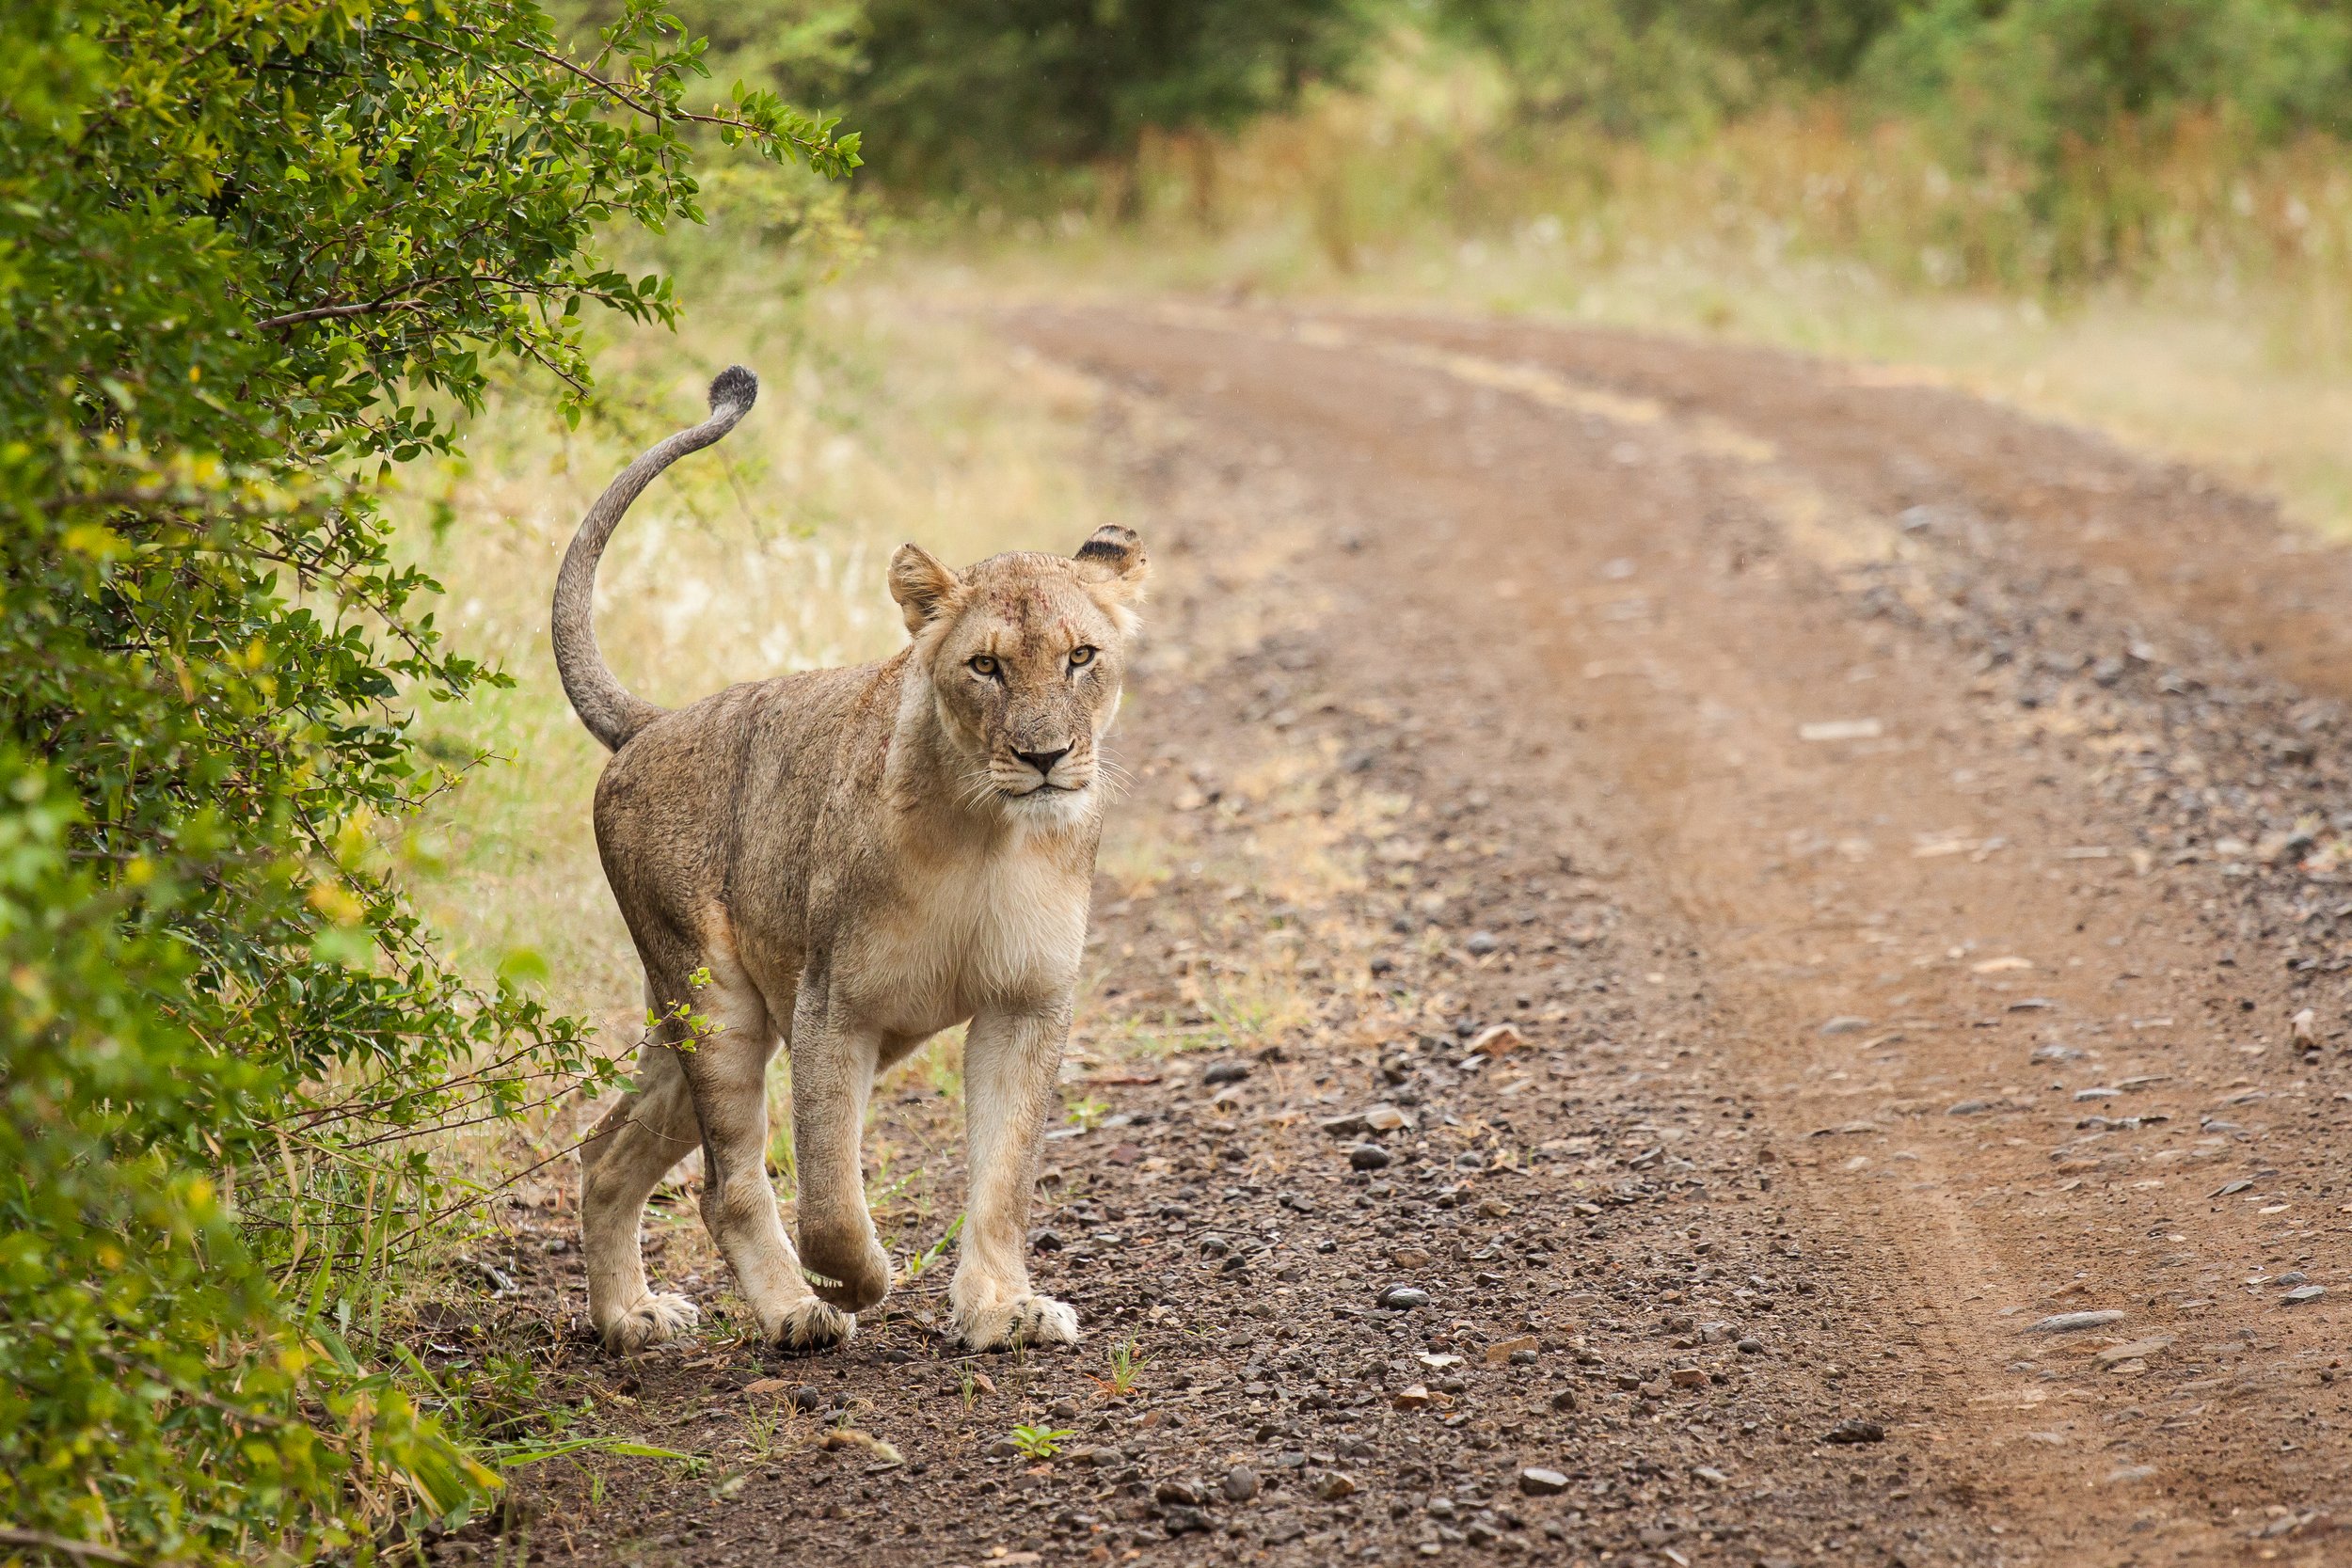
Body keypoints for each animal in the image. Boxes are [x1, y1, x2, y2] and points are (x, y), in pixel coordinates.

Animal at [551, 366, 1146, 1354]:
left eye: (1081, 656)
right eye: (986, 666)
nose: (1045, 756)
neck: (987, 833)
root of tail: (653, 722)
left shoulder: (1025, 1003)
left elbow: (1005, 1179)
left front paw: (1004, 1307)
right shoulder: (833, 1004)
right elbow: (830, 1194)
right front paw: (862, 1279)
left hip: (684, 1023)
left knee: (607, 1151)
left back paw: (629, 1317)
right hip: (715, 1001)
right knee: (726, 1186)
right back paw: (796, 1311)